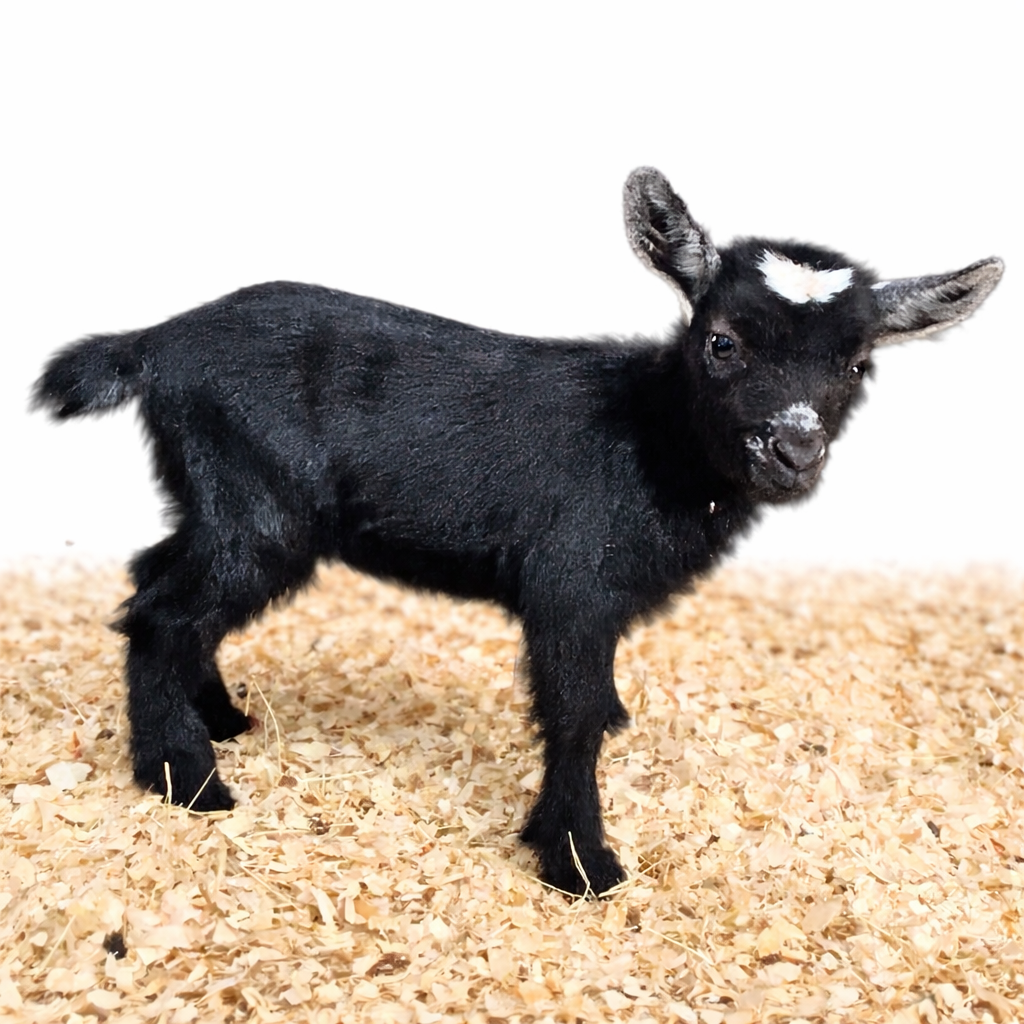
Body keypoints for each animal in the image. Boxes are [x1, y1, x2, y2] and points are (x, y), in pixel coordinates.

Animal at [33, 167, 1002, 896]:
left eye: (858, 363)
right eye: (723, 341)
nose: (794, 451)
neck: (649, 436)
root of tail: (156, 344)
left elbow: (598, 704)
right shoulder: (570, 586)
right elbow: (573, 711)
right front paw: (579, 862)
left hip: (215, 496)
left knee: (157, 582)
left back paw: (217, 717)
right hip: (256, 503)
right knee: (162, 612)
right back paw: (185, 780)